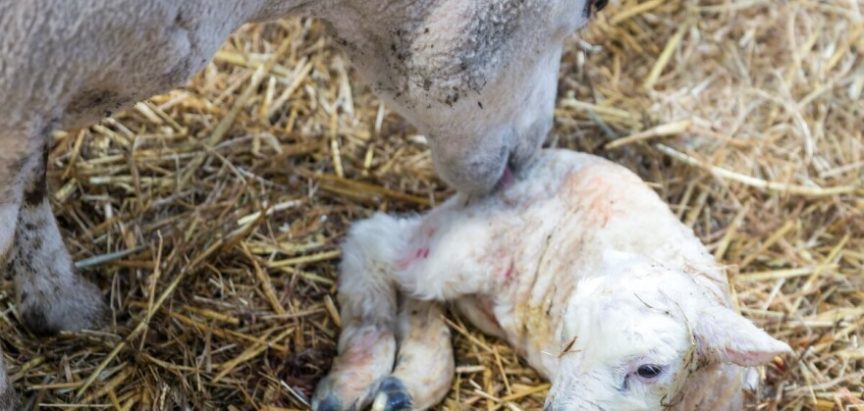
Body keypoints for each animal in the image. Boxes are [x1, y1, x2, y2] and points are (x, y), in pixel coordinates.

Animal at [310, 150, 788, 410]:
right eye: (565, 341)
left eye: (649, 370)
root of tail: (522, 165)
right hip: (460, 248)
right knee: (371, 243)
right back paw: (354, 374)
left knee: (417, 297)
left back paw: (408, 385)